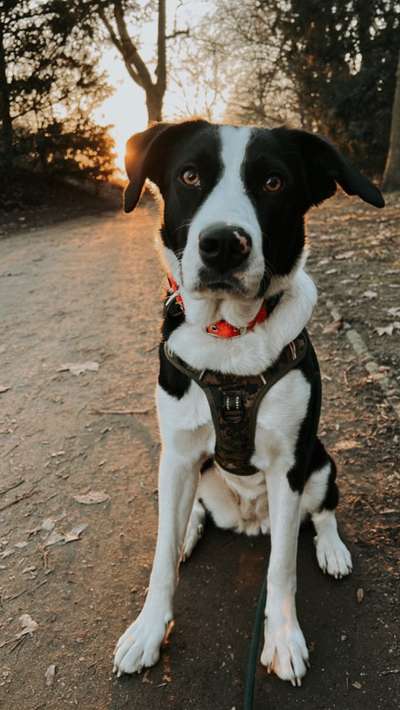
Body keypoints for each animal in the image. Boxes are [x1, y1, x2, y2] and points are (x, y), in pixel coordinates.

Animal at [112, 122, 384, 688]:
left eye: (274, 182)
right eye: (189, 176)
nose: (222, 245)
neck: (230, 334)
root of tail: (249, 519)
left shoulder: (290, 465)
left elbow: (282, 566)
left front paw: (282, 638)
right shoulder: (177, 455)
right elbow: (160, 558)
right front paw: (148, 629)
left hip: (321, 460)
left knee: (322, 511)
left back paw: (331, 548)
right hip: (194, 474)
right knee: (189, 513)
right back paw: (190, 530)